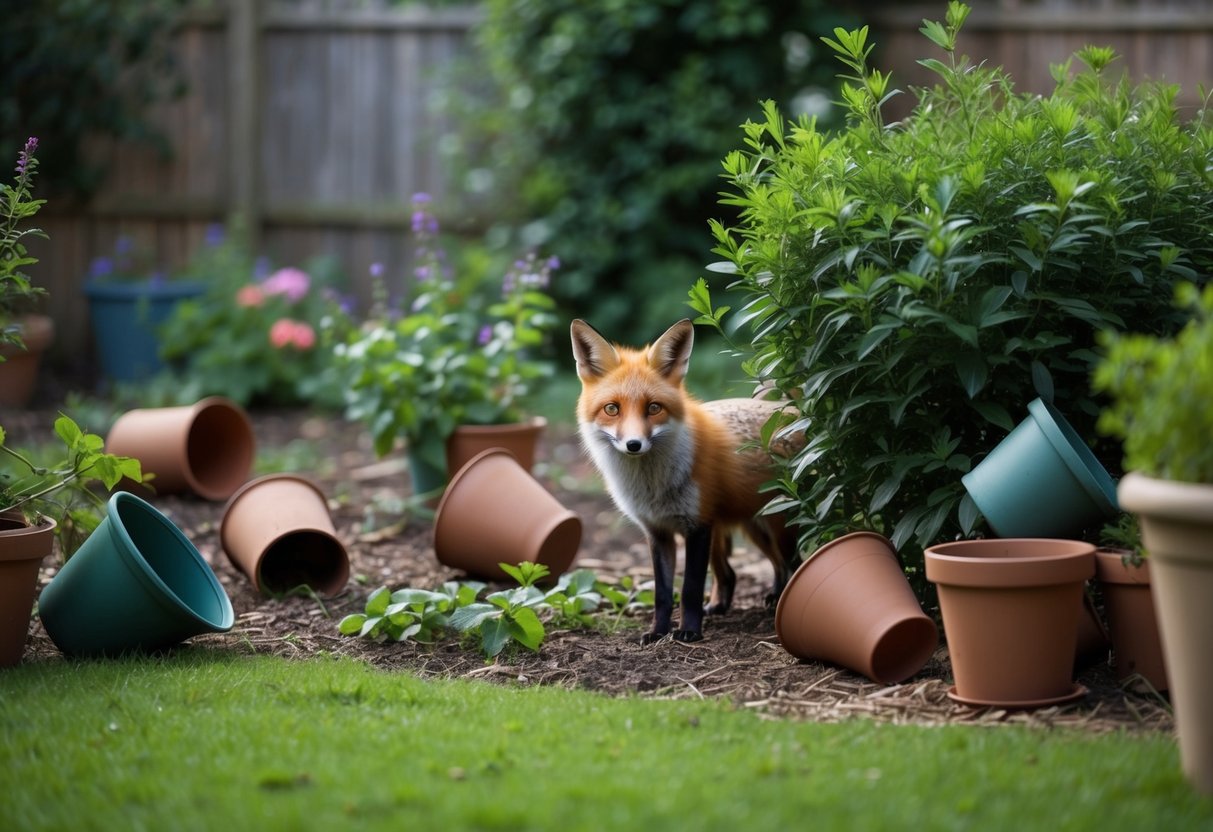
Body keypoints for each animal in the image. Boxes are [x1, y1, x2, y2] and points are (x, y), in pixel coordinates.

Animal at [570, 317, 801, 644]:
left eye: (654, 408)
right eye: (612, 409)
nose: (633, 445)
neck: (652, 487)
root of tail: (793, 412)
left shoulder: (698, 526)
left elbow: (690, 588)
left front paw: (689, 631)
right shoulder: (657, 533)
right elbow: (662, 594)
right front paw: (657, 632)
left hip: (777, 528)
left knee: (792, 564)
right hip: (750, 527)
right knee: (741, 572)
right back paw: (729, 604)